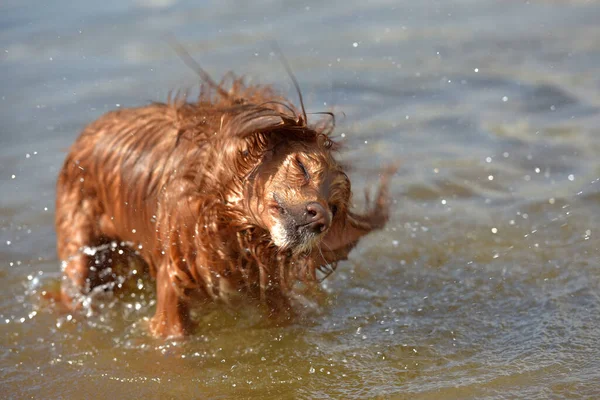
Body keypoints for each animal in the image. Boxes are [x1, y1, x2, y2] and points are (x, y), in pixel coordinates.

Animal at [55, 72, 394, 338]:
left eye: (335, 207)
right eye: (302, 167)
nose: (319, 217)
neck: (228, 220)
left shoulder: (268, 285)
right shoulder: (173, 278)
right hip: (81, 252)